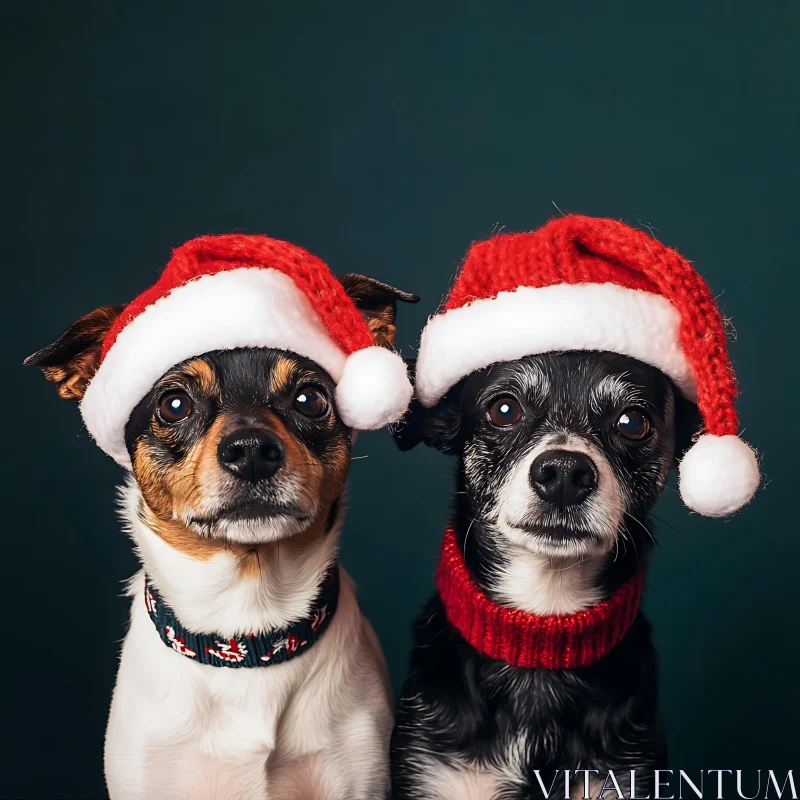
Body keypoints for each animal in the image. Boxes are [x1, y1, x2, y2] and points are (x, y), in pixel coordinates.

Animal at [392, 354, 700, 796]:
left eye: (632, 422)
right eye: (504, 410)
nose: (565, 473)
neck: (541, 631)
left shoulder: (624, 777)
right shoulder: (431, 773)